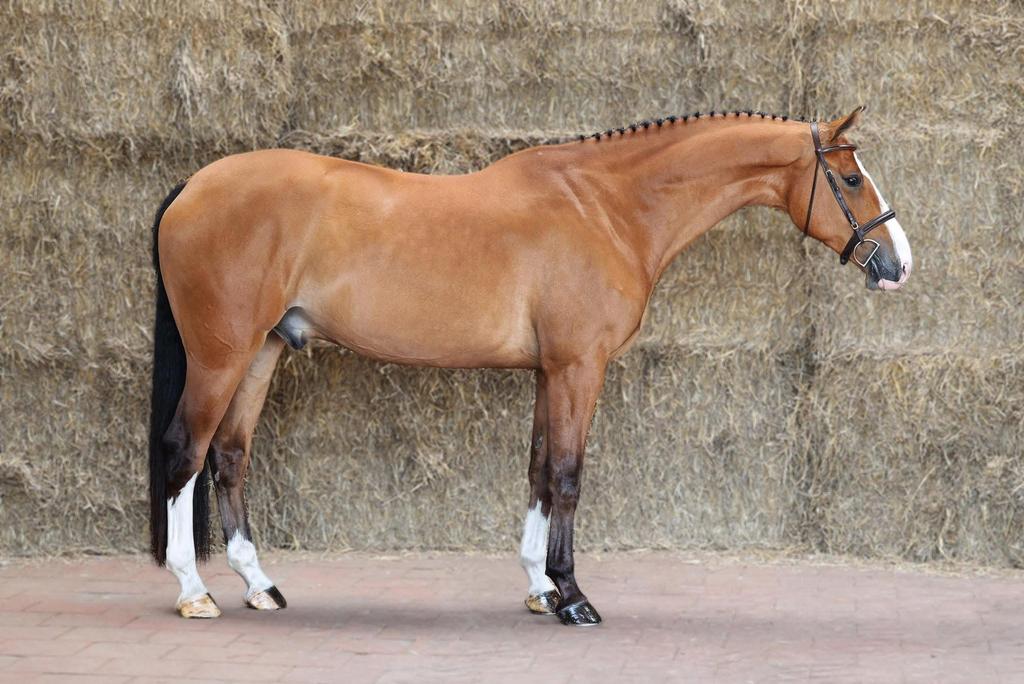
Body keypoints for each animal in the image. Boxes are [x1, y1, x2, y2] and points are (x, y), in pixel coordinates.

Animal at [148, 106, 912, 626]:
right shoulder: (579, 367)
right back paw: (194, 592)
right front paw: (573, 597)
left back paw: (259, 585)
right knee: (186, 450)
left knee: (230, 455)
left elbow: (541, 470)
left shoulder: (552, 372)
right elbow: (569, 475)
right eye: (850, 177)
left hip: (264, 351)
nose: (899, 264)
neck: (605, 209)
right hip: (222, 355)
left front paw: (540, 589)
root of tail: (193, 185)